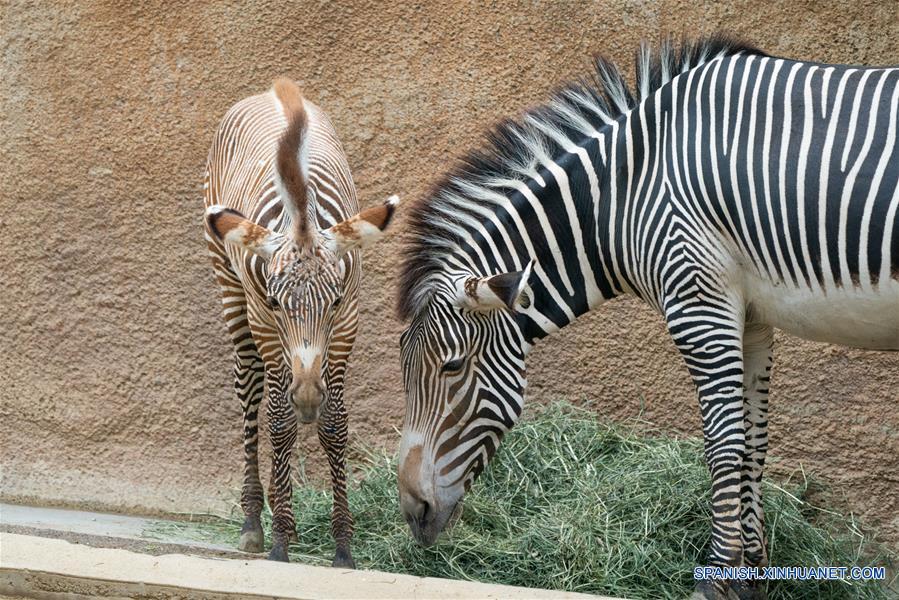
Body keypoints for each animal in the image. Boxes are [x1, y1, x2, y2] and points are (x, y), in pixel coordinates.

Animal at [206, 78, 400, 568]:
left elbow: (335, 424)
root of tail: (270, 90)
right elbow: (279, 422)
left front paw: (343, 546)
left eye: (333, 301)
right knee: (250, 393)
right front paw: (279, 541)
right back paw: (254, 520)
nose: (308, 395)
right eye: (277, 303)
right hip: (230, 292)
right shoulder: (263, 320)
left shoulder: (348, 321)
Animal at [396, 35, 899, 596]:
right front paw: (751, 578)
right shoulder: (750, 319)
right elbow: (753, 445)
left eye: (452, 366)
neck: (626, 193)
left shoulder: (697, 303)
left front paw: (714, 579)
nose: (412, 510)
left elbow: (723, 447)